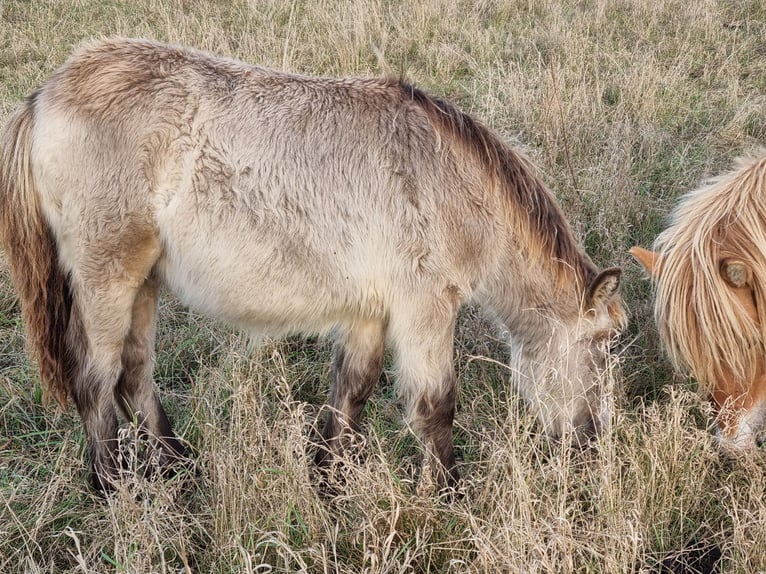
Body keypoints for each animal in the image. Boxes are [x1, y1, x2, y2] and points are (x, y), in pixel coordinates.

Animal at [0, 38, 628, 496]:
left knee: (135, 373)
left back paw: (179, 464)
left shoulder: (371, 311)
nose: (594, 443)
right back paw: (113, 487)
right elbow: (437, 404)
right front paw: (448, 494)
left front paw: (328, 476)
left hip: (144, 282)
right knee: (94, 379)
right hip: (107, 279)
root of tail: (46, 95)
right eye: (602, 347)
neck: (446, 179)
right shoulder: (425, 308)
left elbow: (352, 390)